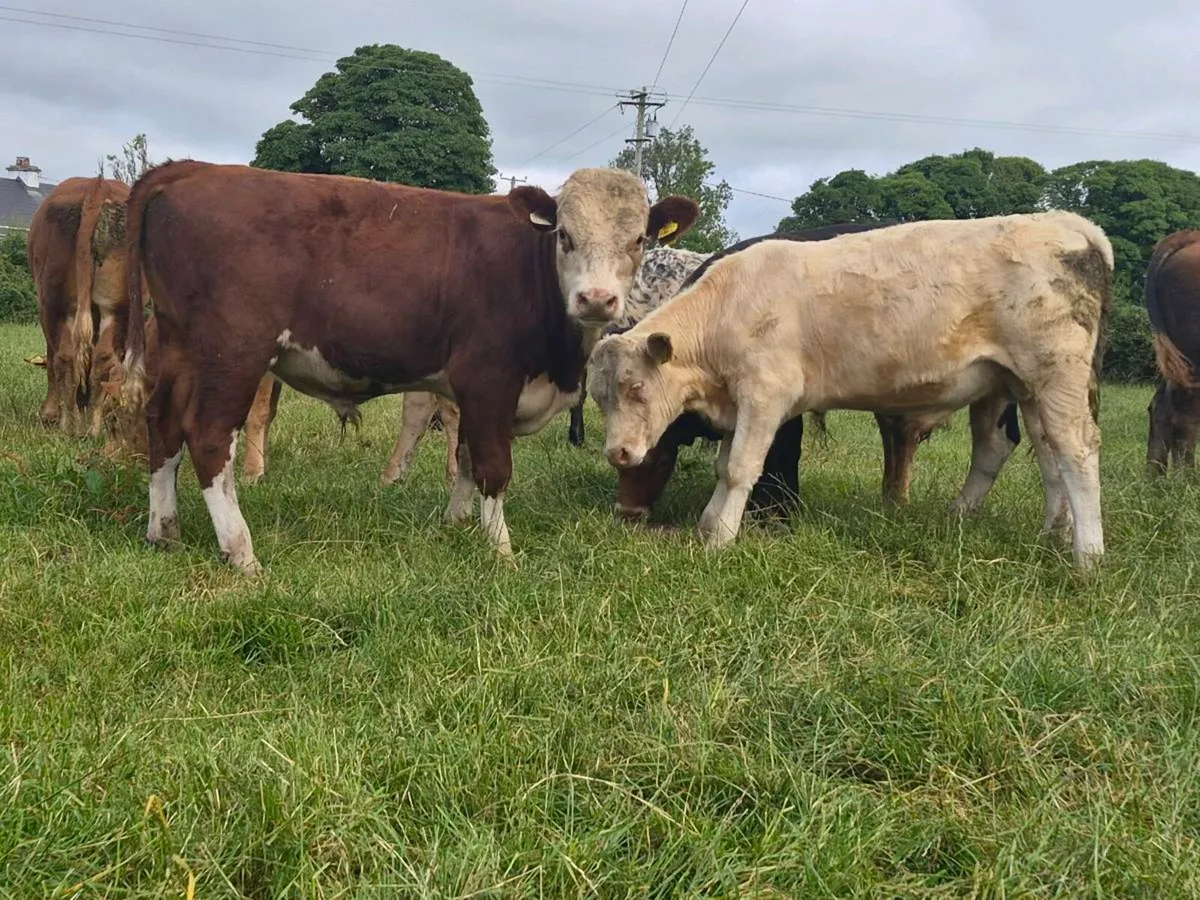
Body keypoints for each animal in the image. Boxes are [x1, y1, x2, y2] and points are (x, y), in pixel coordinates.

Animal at [27, 175, 131, 436]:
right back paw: (89, 426)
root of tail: (97, 185)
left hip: (54, 305)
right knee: (97, 358)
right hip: (117, 307)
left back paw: (73, 424)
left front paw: (50, 414)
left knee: (65, 358)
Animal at [118, 161, 699, 574]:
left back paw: (164, 531)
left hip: (179, 347)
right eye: (565, 236)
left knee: (162, 423)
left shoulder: (475, 394)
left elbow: (464, 458)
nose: (597, 300)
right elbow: (492, 467)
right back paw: (241, 551)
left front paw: (457, 523)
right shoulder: (488, 379)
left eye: (638, 240)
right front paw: (501, 548)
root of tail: (192, 169)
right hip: (232, 351)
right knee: (209, 436)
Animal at [588, 211, 1112, 571]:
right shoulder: (741, 402)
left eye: (636, 387)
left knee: (1076, 452)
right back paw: (1050, 532)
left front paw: (721, 537)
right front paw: (709, 523)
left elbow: (740, 469)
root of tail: (1070, 224)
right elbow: (724, 467)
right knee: (1046, 454)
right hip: (1025, 386)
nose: (618, 453)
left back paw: (1087, 555)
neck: (729, 306)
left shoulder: (766, 396)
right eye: (600, 397)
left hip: (1056, 373)